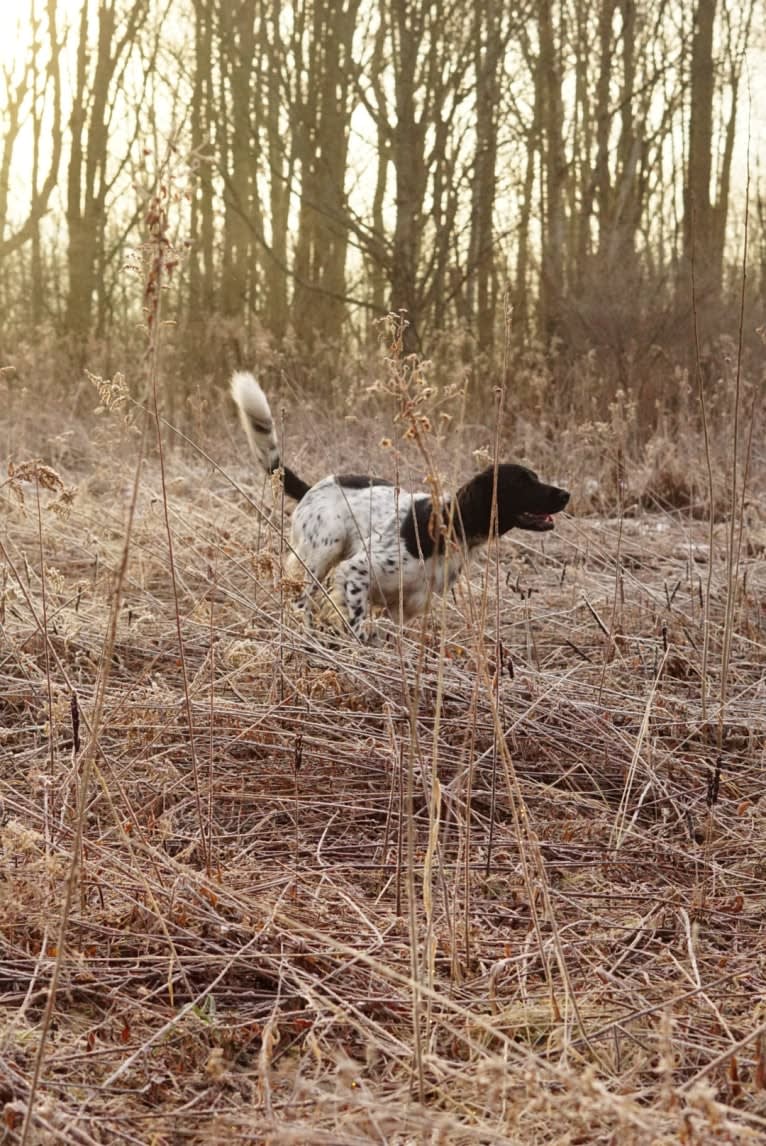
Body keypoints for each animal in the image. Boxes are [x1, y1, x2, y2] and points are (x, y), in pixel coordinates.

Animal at [231, 371, 568, 637]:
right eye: (523, 482)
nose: (566, 494)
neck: (445, 525)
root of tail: (314, 486)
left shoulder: (406, 607)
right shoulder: (356, 571)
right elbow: (357, 626)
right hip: (323, 551)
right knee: (302, 602)